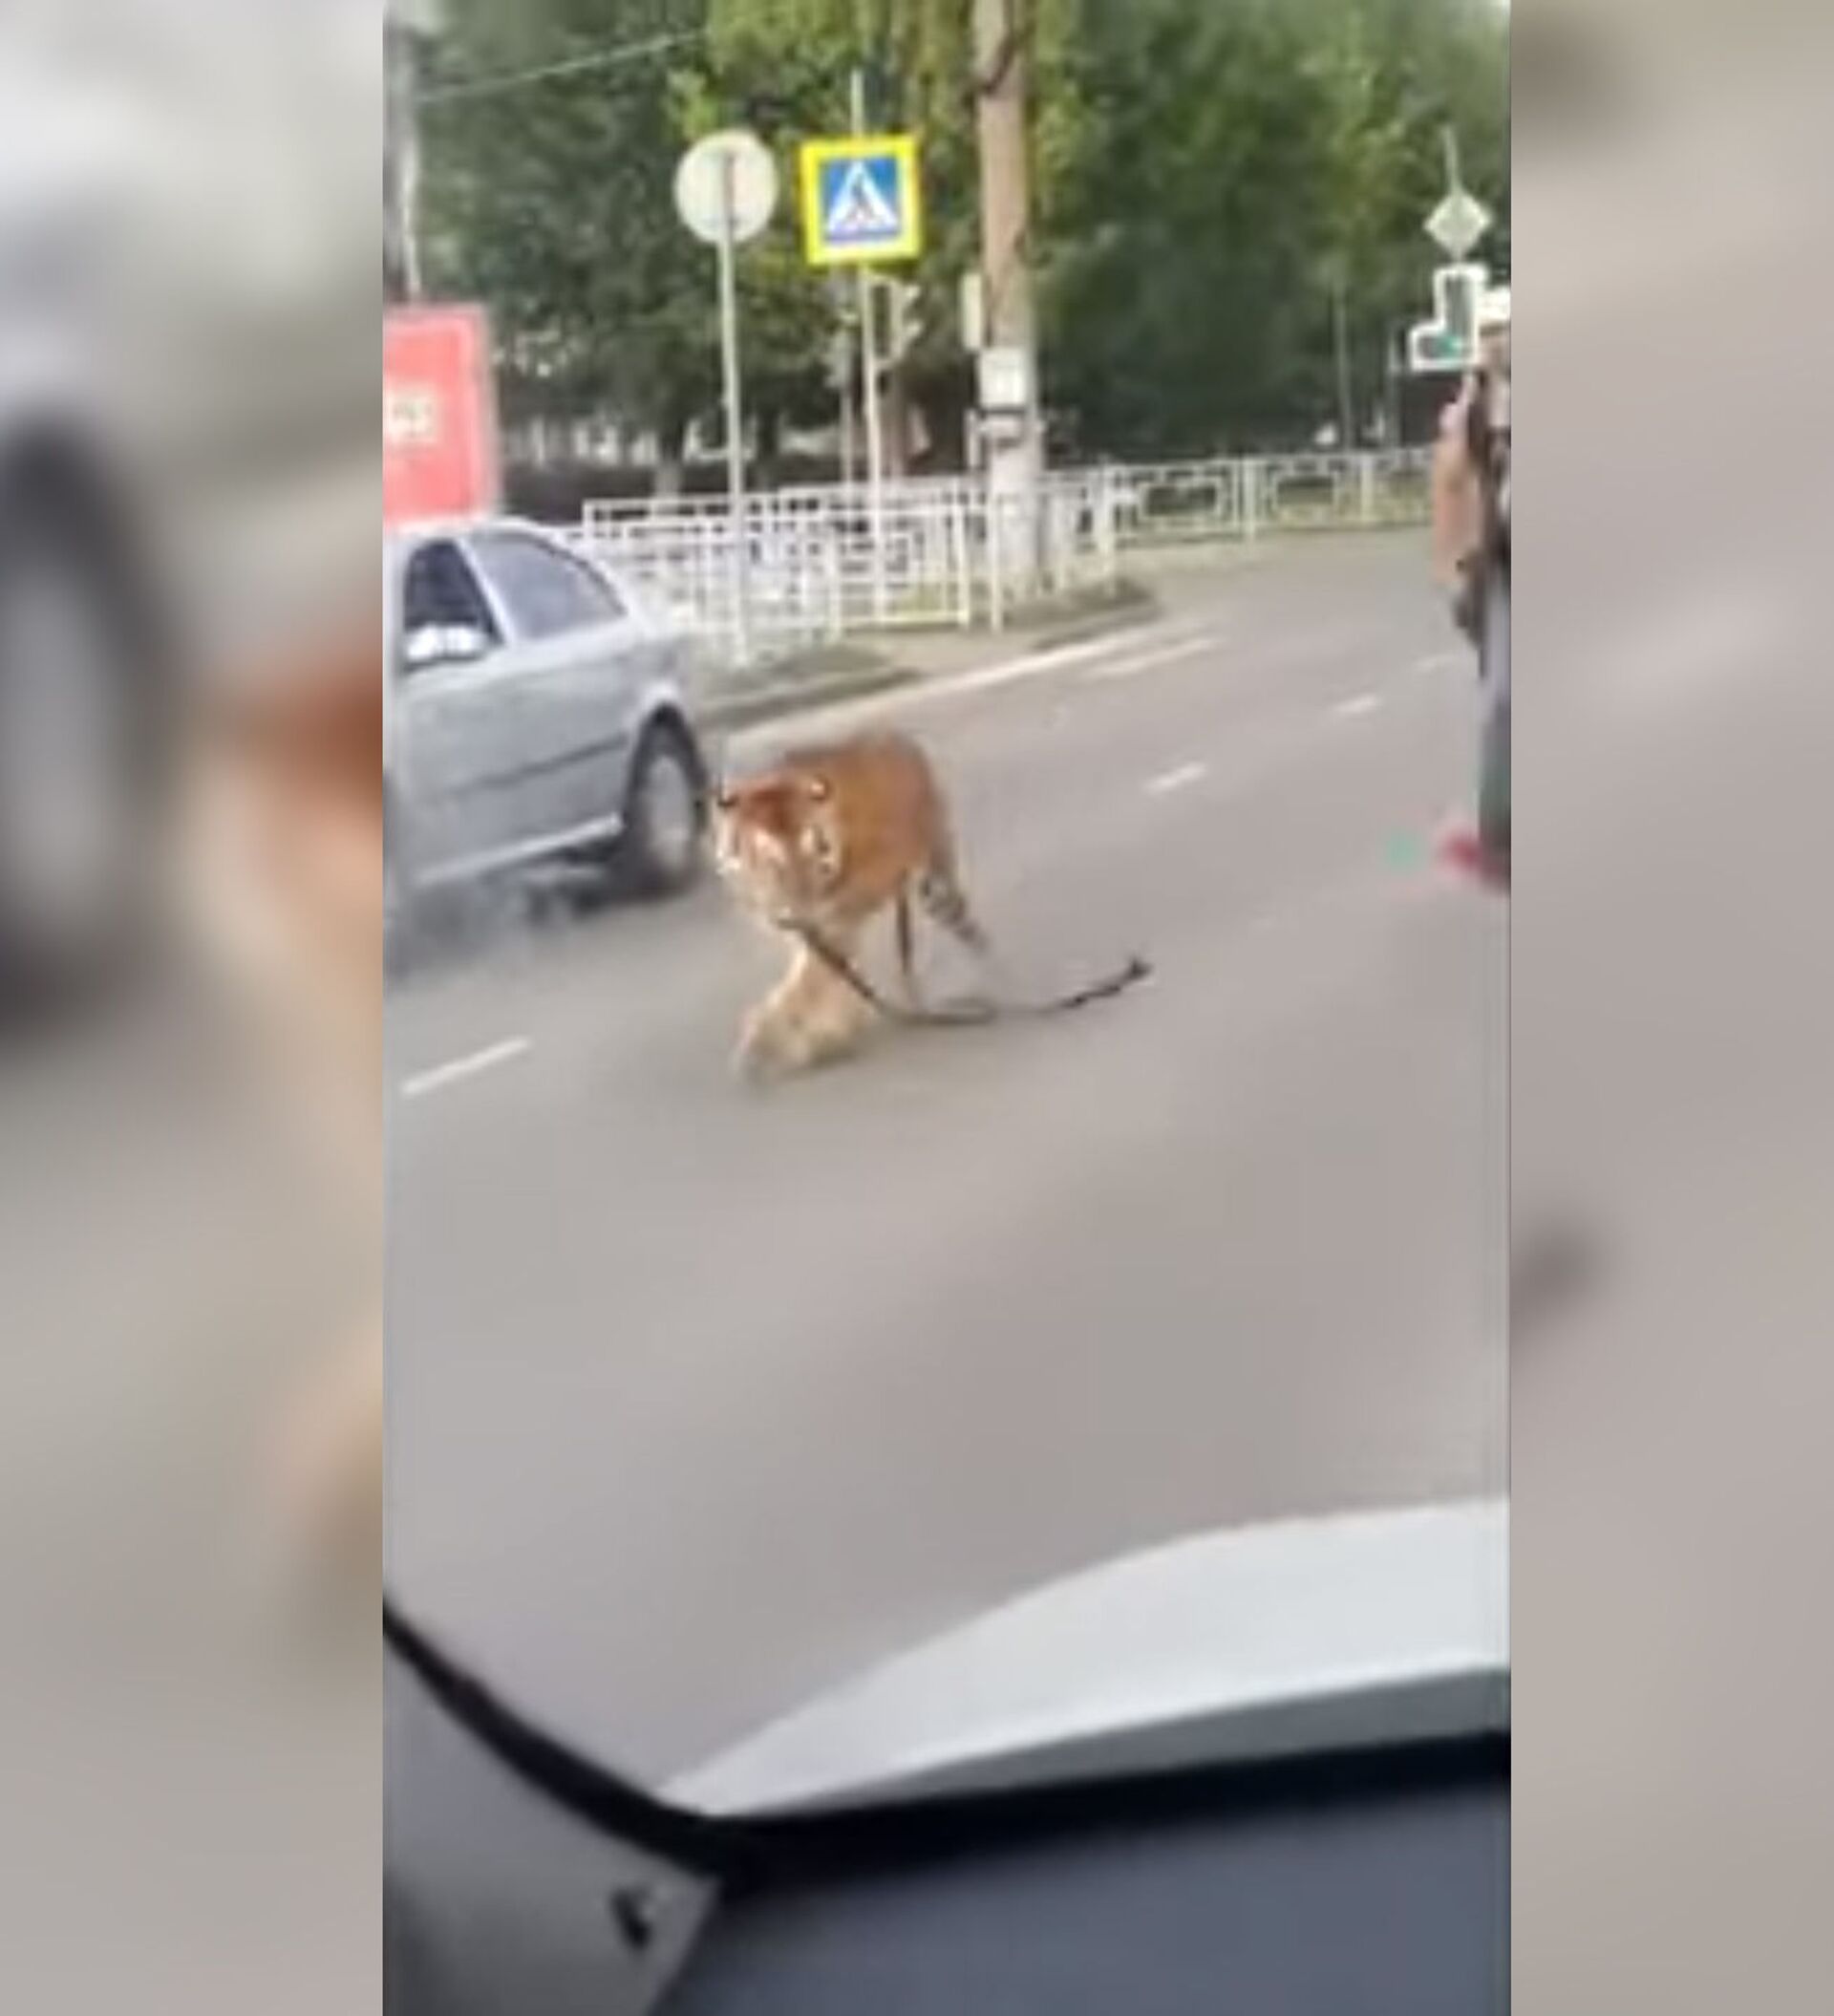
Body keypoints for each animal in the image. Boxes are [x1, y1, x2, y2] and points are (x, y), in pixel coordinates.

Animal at [709, 729, 992, 1080]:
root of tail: (902, 739)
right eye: (771, 861)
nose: (801, 911)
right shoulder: (808, 928)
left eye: (814, 850)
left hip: (936, 881)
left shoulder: (839, 915)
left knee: (974, 935)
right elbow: (815, 977)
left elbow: (808, 984)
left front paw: (766, 1045)